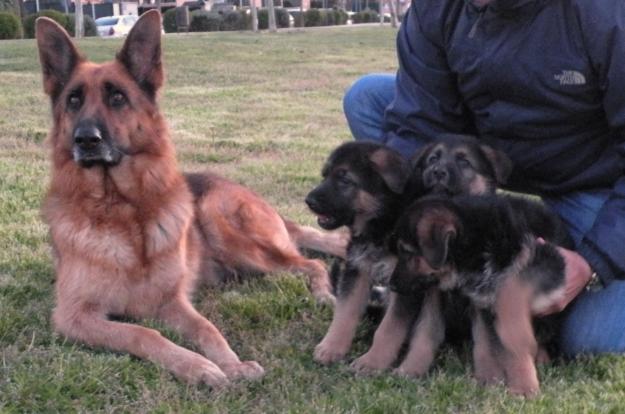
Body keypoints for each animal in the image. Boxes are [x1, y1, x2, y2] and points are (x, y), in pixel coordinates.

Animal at [36, 12, 346, 388]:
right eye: (74, 100)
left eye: (118, 98)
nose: (86, 139)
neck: (121, 211)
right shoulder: (74, 316)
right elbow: (143, 333)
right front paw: (198, 366)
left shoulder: (172, 302)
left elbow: (206, 327)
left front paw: (229, 363)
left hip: (224, 223)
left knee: (311, 264)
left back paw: (323, 294)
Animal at [390, 196, 572, 396]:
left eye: (406, 252)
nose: (391, 285)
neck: (478, 242)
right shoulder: (478, 298)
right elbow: (480, 339)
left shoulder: (544, 259)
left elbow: (510, 294)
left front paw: (523, 387)